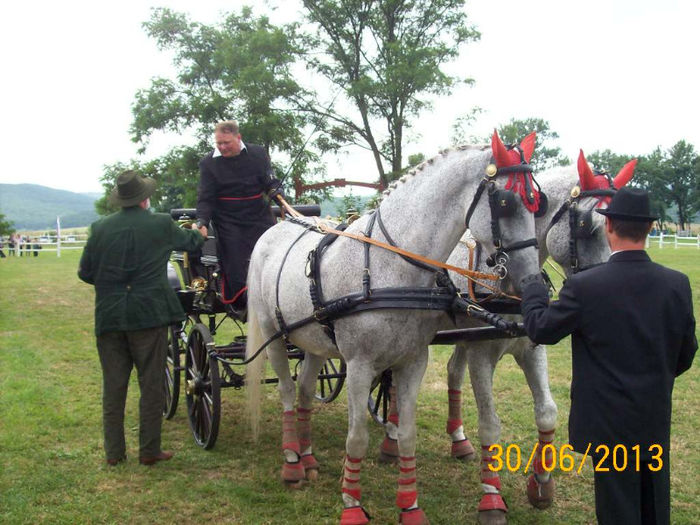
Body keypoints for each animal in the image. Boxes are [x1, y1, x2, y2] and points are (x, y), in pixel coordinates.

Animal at [247, 132, 548, 524]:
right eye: (504, 202)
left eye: (537, 203)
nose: (532, 283)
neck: (390, 266)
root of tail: (275, 227)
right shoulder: (359, 366)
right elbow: (357, 437)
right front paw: (352, 505)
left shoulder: (413, 361)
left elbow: (406, 434)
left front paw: (410, 506)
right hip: (273, 334)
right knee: (285, 390)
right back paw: (293, 461)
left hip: (314, 342)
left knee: (304, 391)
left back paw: (309, 457)